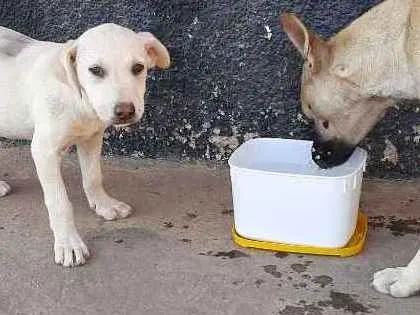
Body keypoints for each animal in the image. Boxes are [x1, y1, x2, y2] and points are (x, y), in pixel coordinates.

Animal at [0, 23, 171, 268]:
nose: (125, 111)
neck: (79, 100)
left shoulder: (92, 138)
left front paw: (104, 204)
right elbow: (59, 202)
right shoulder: (44, 151)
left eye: (138, 68)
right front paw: (68, 243)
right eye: (96, 70)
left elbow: (93, 177)